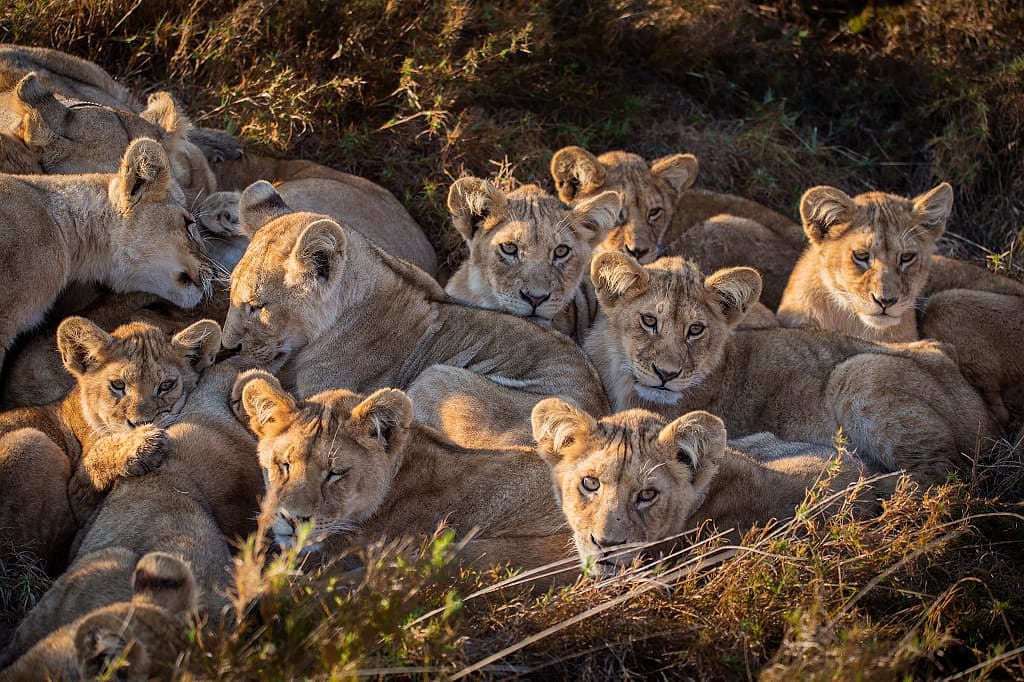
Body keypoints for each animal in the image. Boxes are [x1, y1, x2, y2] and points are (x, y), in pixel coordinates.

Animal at [0, 316, 221, 573]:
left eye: (166, 385)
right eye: (117, 385)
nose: (141, 422)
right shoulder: (78, 494)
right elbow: (98, 457)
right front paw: (142, 445)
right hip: (28, 442)